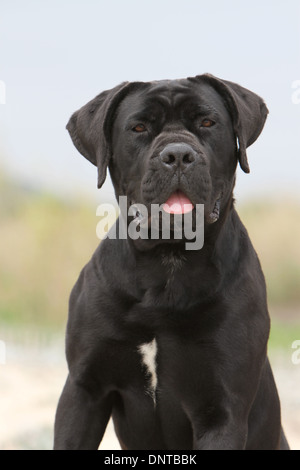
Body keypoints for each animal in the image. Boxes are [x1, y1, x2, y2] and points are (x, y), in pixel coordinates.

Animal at [54, 75, 290, 450]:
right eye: (138, 127)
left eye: (207, 122)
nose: (178, 154)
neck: (167, 263)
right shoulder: (84, 390)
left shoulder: (221, 410)